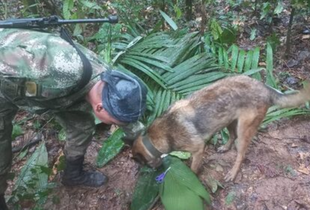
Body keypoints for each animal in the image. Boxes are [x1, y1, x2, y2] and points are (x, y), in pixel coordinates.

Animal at [131, 75, 310, 180]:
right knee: (232, 136)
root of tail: (265, 88)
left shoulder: (198, 149)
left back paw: (233, 173)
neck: (154, 138)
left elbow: (193, 168)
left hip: (244, 130)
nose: (154, 171)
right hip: (229, 120)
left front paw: (192, 177)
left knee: (241, 154)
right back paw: (225, 147)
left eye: (143, 164)